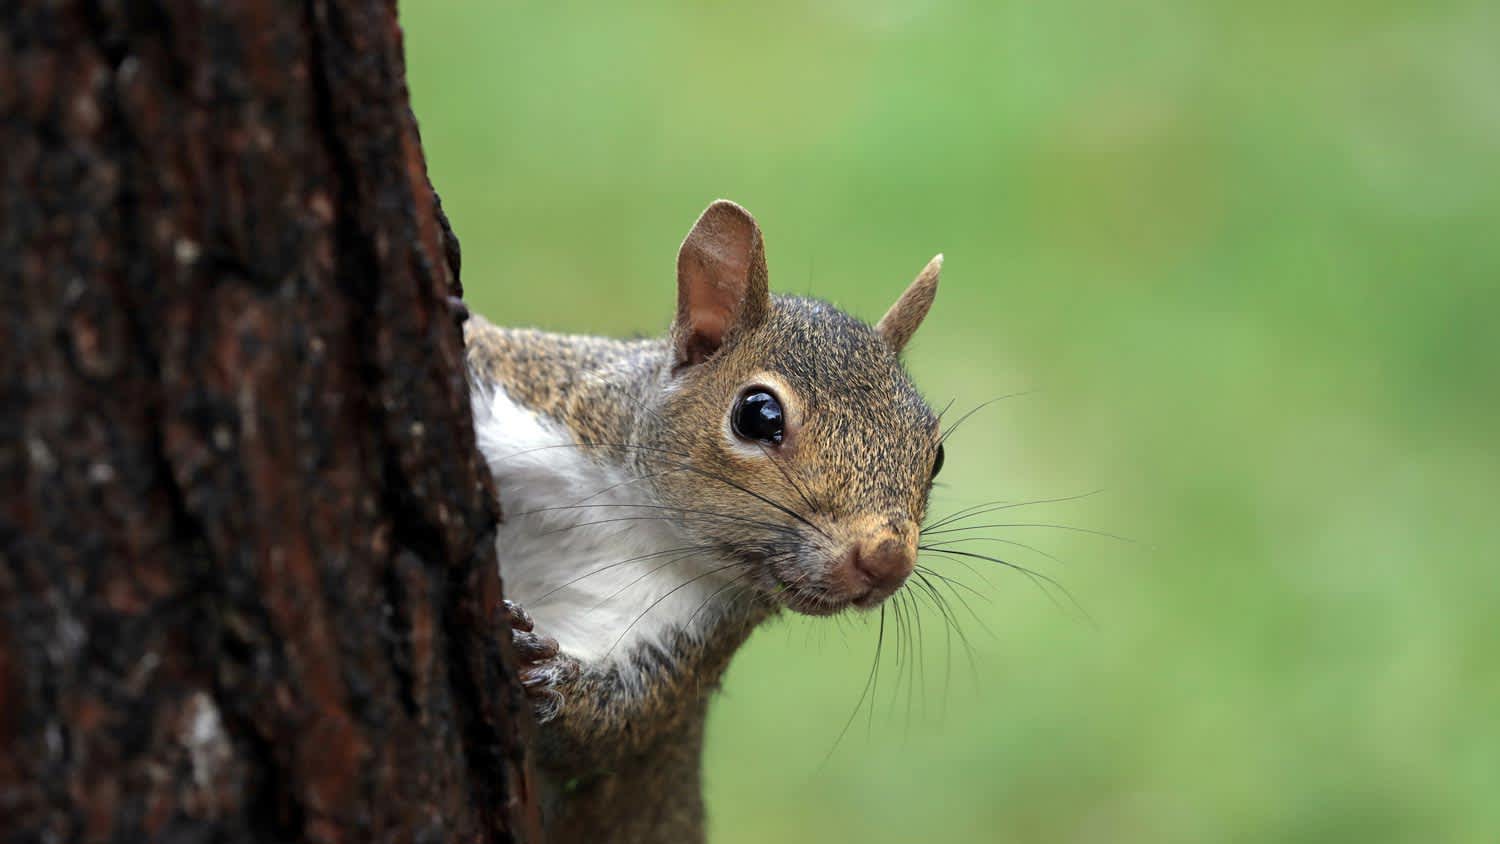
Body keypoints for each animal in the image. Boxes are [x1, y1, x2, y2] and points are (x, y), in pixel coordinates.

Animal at [464, 200, 945, 843]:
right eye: (758, 414)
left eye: (935, 453)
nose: (887, 560)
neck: (639, 518)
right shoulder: (540, 394)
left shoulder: (693, 635)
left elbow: (610, 726)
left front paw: (545, 668)